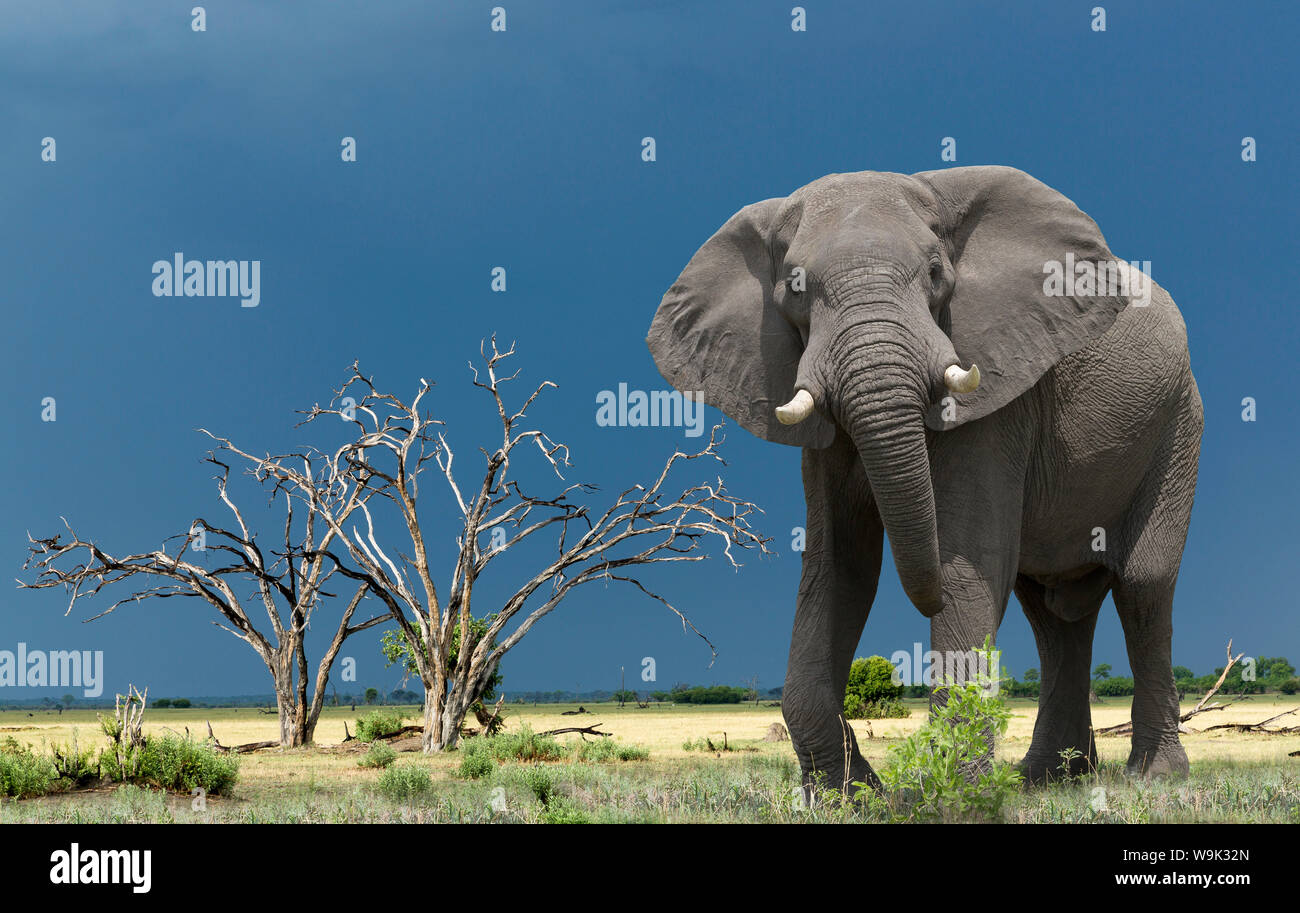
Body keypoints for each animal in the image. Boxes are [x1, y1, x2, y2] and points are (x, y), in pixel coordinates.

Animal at [646, 166, 1202, 792]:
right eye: (794, 288)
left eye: (936, 274)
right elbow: (839, 568)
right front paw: (853, 796)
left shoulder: (999, 396)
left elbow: (967, 561)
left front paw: (956, 795)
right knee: (1051, 613)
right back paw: (1049, 779)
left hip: (1179, 420)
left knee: (1142, 585)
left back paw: (1155, 777)